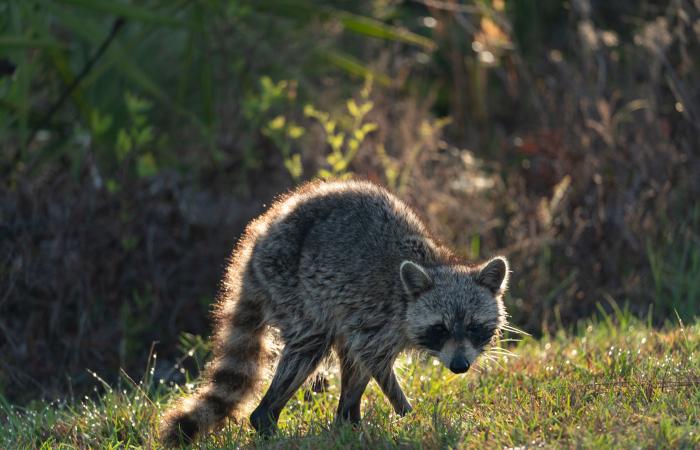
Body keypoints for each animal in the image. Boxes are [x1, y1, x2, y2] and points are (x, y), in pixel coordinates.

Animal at [157, 180, 508, 446]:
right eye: (440, 329)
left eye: (474, 327)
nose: (460, 366)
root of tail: (254, 242)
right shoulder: (379, 318)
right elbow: (375, 362)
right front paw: (407, 412)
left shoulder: (369, 318)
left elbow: (361, 362)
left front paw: (358, 415)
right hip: (290, 283)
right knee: (309, 346)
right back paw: (267, 419)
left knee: (345, 355)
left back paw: (347, 420)